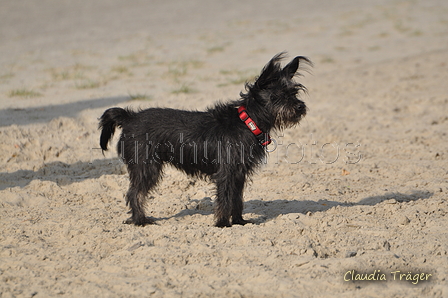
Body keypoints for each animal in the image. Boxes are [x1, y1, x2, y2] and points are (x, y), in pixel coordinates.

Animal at [99, 52, 310, 227]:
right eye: (277, 96)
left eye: (294, 92)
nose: (300, 107)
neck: (247, 122)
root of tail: (130, 117)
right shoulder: (226, 173)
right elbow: (225, 199)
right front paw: (223, 224)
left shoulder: (239, 173)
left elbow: (237, 199)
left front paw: (239, 221)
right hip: (146, 167)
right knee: (134, 193)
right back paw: (140, 220)